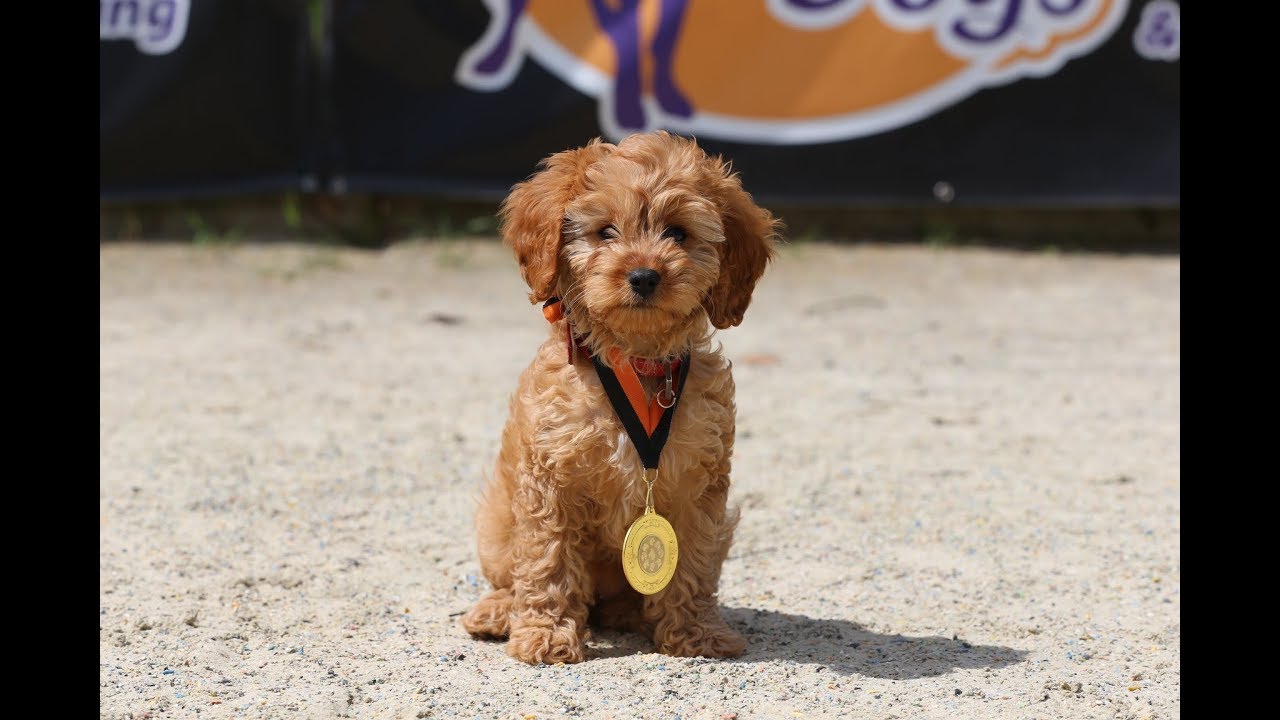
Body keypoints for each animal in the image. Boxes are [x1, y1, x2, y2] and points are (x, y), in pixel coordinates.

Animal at [463, 130, 778, 661]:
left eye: (678, 233)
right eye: (605, 231)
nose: (645, 276)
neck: (635, 358)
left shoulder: (697, 483)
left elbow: (692, 562)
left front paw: (696, 633)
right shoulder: (551, 481)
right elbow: (548, 560)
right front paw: (546, 634)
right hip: (498, 521)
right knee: (510, 576)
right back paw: (499, 612)